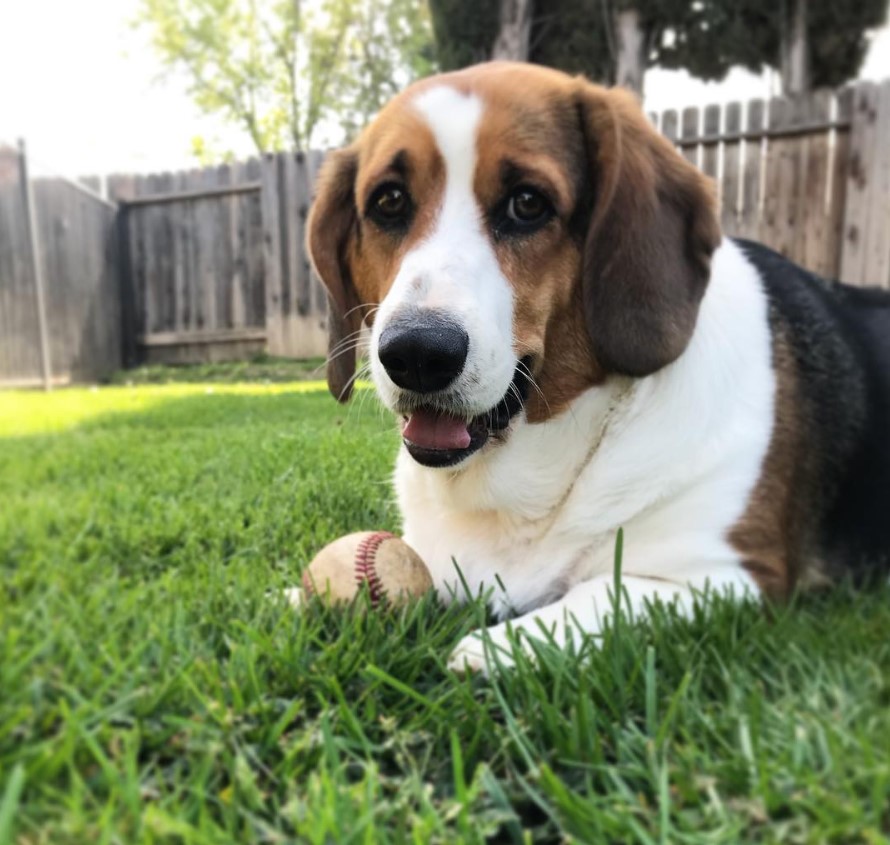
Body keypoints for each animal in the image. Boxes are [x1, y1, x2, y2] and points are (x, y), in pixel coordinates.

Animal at [304, 61, 888, 672]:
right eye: (389, 202)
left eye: (528, 203)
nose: (417, 353)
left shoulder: (723, 577)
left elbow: (591, 595)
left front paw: (491, 647)